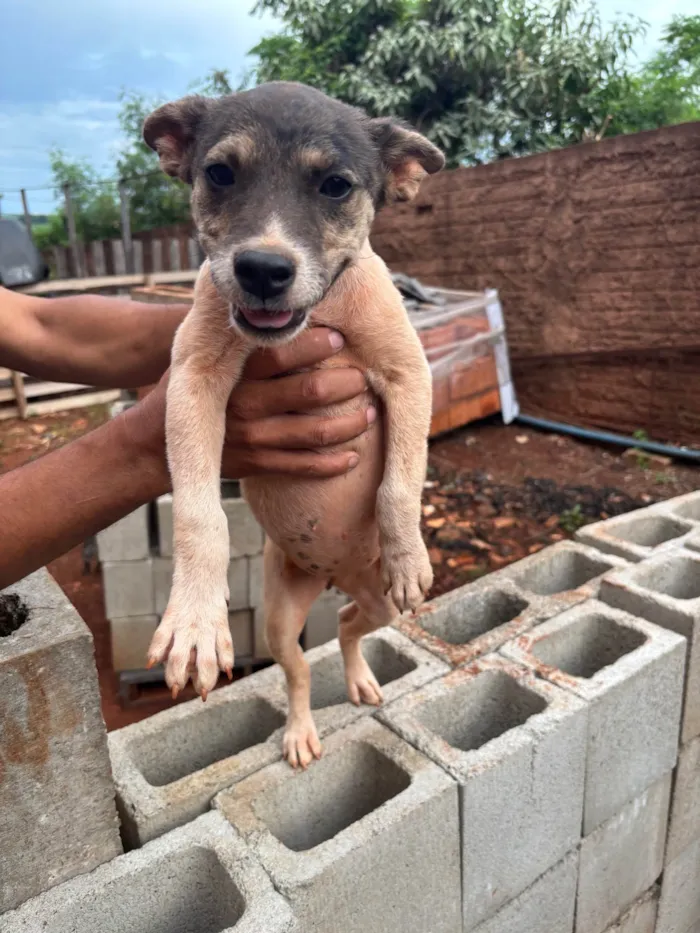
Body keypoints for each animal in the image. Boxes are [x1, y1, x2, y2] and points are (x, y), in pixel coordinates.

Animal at [145, 82, 446, 764]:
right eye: (220, 174)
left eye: (335, 186)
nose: (261, 269)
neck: (318, 314)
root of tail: (334, 578)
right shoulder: (192, 380)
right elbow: (199, 513)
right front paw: (195, 622)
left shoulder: (409, 374)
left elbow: (399, 483)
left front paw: (409, 552)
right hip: (282, 615)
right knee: (299, 668)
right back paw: (301, 732)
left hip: (381, 603)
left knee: (350, 627)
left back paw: (361, 676)